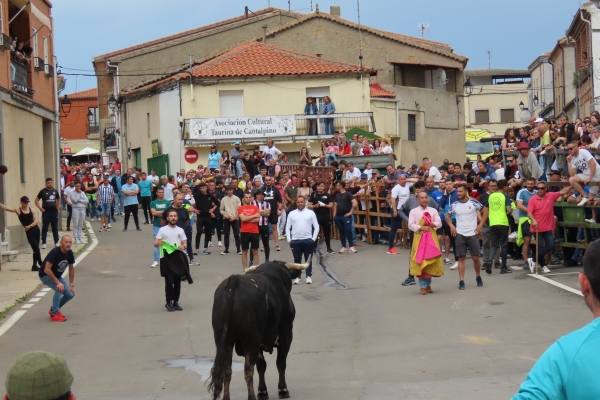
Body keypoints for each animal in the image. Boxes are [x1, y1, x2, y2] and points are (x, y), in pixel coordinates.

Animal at [209, 260, 308, 398]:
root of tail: (233, 282)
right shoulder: (286, 335)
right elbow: (280, 363)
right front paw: (283, 390)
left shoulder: (260, 343)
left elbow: (262, 366)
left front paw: (262, 391)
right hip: (251, 340)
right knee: (248, 370)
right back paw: (251, 396)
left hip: (224, 341)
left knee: (227, 370)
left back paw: (226, 398)